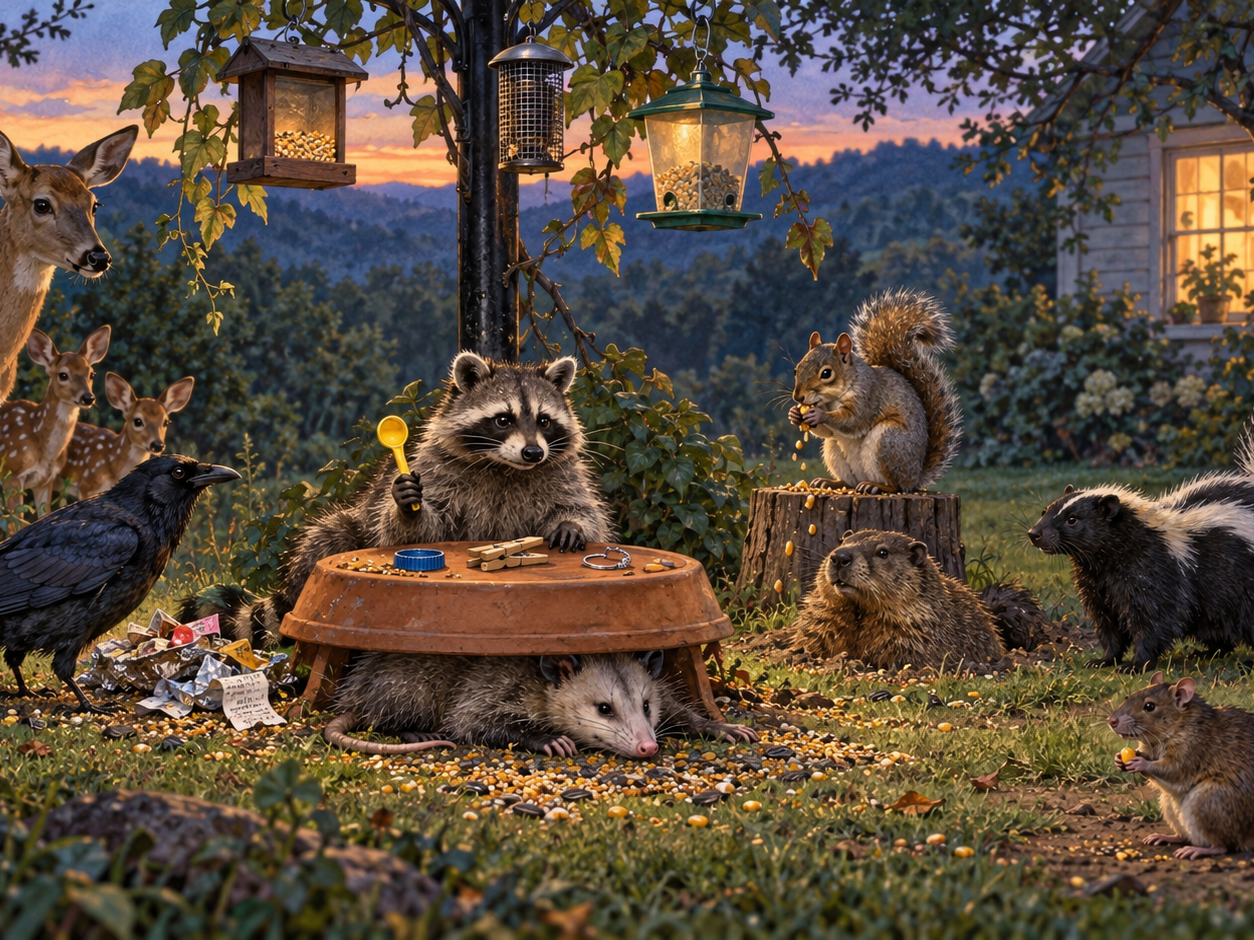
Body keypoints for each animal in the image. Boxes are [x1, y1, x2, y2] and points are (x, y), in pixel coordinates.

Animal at [183, 352, 613, 644]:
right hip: (347, 528)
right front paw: (410, 512)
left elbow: (586, 511)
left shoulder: (560, 472)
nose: (533, 453)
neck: (505, 468)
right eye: (503, 419)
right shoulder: (435, 468)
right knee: (330, 534)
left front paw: (571, 524)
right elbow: (418, 529)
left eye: (544, 420)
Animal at [788, 289, 962, 494]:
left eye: (826, 373)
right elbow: (827, 432)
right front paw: (794, 414)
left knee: (896, 485)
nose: (798, 397)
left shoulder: (868, 396)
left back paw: (875, 486)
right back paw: (830, 483)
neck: (832, 399)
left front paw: (819, 415)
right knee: (849, 482)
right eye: (796, 369)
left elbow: (853, 421)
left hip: (889, 442)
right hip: (834, 451)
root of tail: (915, 478)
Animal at [1110, 672, 1254, 859]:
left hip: (1209, 800)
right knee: (1184, 835)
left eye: (1149, 706)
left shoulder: (1192, 751)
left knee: (1224, 845)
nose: (1111, 721)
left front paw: (1142, 763)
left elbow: (1172, 770)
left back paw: (1199, 849)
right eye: (1128, 696)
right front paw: (1119, 759)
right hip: (1168, 804)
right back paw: (1166, 836)